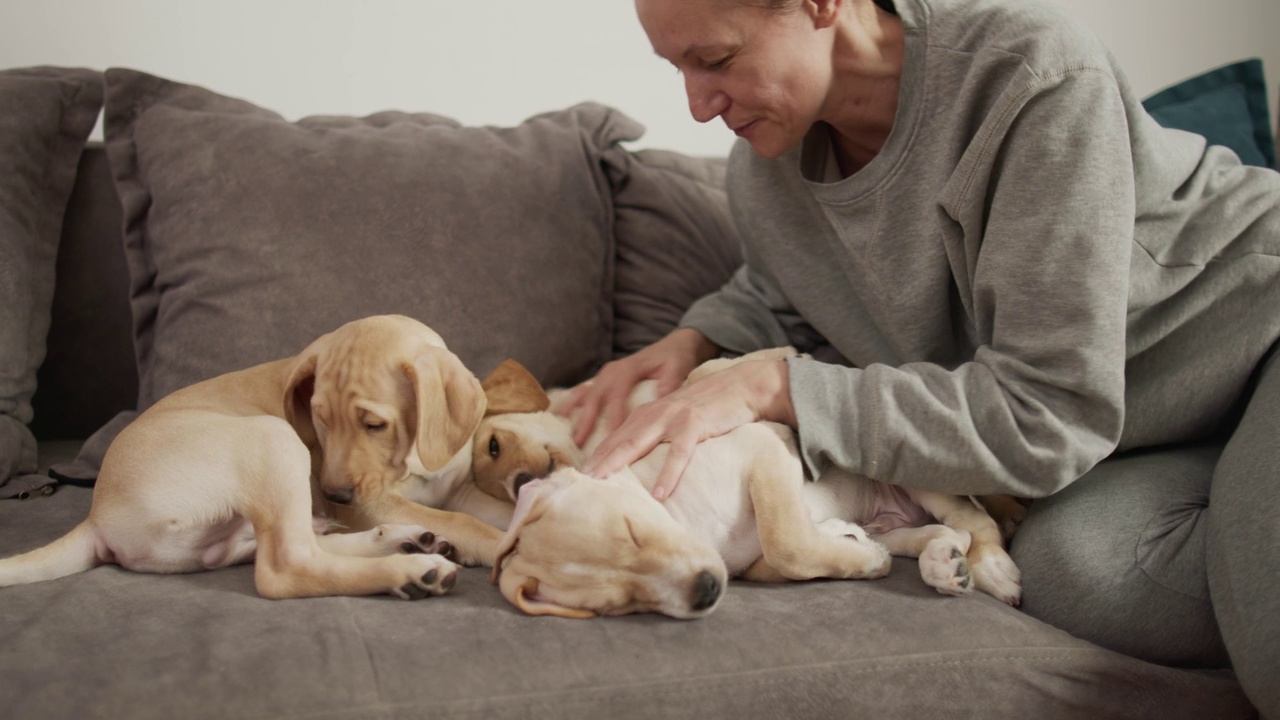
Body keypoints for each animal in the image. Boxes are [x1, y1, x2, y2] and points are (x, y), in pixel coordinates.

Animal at [0, 313, 501, 599]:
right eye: (319, 419)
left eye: (374, 424)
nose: (332, 493)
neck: (416, 460)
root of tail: (97, 515)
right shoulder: (369, 500)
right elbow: (467, 523)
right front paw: (503, 545)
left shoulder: (459, 487)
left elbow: (483, 509)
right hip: (274, 437)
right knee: (284, 567)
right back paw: (411, 568)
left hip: (230, 529)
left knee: (279, 546)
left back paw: (405, 541)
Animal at [471, 348, 1018, 617]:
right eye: (622, 605)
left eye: (632, 532)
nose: (706, 591)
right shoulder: (758, 550)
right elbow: (794, 551)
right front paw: (854, 548)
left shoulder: (762, 451)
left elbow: (786, 542)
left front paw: (861, 559)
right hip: (900, 518)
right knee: (943, 533)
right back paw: (942, 563)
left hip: (919, 474)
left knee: (977, 524)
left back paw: (991, 569)